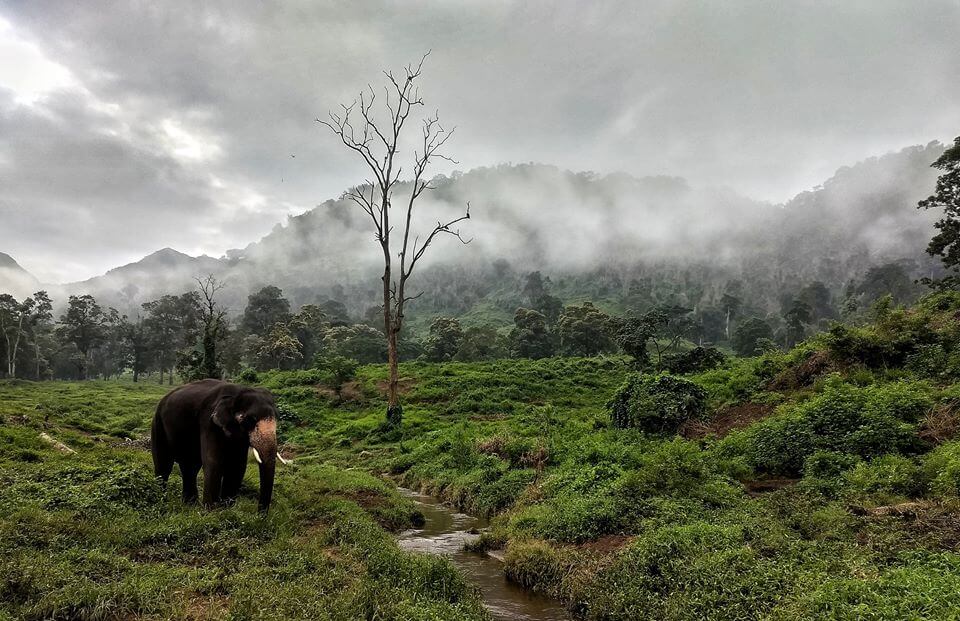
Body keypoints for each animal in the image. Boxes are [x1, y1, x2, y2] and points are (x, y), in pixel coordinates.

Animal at [151, 379, 286, 512]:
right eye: (250, 420)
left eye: (277, 418)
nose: (260, 515)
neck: (238, 392)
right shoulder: (209, 422)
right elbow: (213, 461)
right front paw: (211, 512)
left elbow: (237, 465)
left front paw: (225, 511)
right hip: (158, 423)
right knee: (163, 466)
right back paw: (162, 503)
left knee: (190, 467)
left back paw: (189, 505)